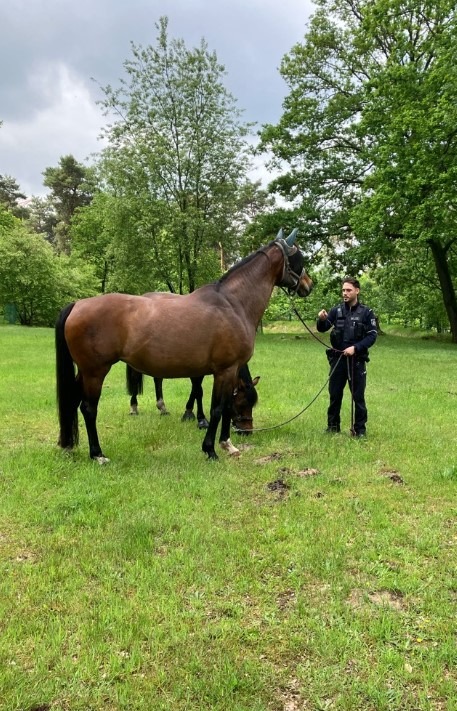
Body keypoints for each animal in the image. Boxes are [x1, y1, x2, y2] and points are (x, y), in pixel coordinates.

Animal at [126, 362, 260, 433]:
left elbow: (195, 390)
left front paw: (191, 413)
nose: (247, 431)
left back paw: (162, 408)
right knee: (135, 377)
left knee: (158, 378)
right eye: (241, 404)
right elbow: (198, 390)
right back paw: (133, 407)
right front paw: (199, 419)